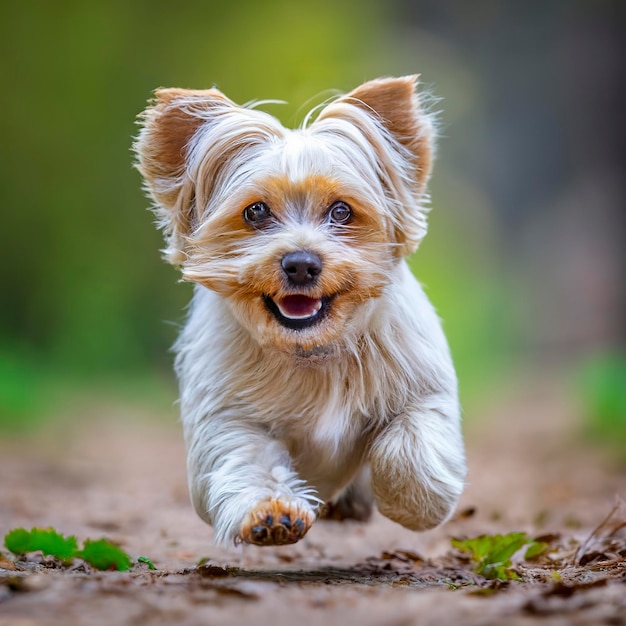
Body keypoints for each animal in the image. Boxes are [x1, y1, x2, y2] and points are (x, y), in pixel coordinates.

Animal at [133, 75, 464, 544]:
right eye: (255, 211)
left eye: (342, 210)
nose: (302, 263)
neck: (311, 350)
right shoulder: (227, 418)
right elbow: (247, 462)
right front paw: (272, 515)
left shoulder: (423, 389)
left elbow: (407, 449)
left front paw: (412, 503)